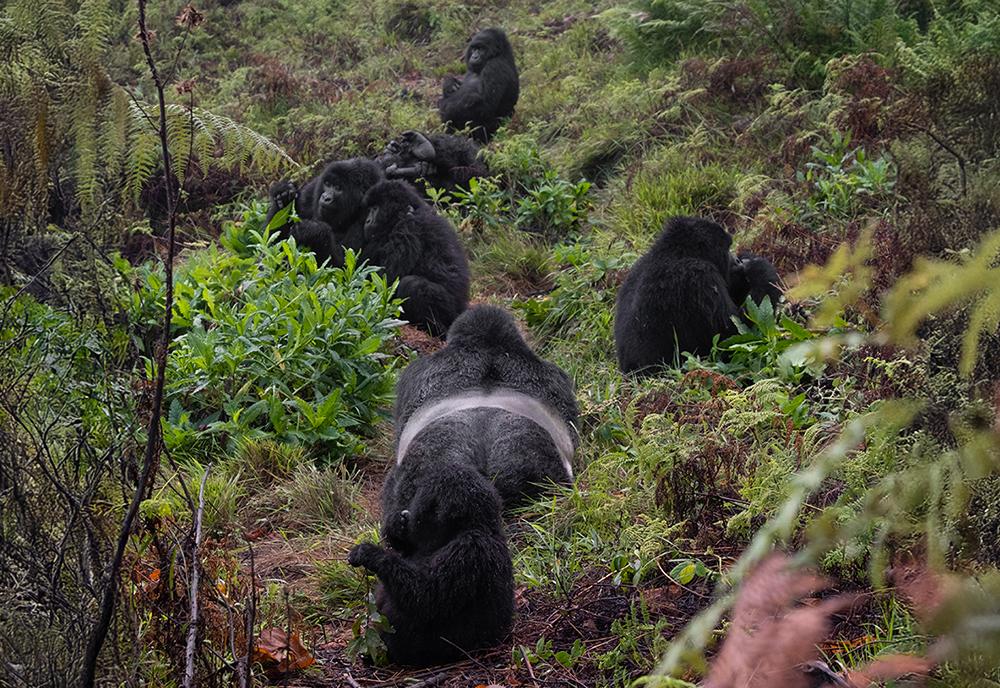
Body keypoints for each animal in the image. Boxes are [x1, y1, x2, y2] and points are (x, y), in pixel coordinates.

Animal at [358, 180, 470, 336]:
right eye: (370, 209)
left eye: (375, 208)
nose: (367, 221)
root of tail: (462, 310)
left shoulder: (407, 229)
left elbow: (386, 281)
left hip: (449, 313)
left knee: (413, 284)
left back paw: (436, 328)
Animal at [612, 216, 784, 374]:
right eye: (727, 248)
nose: (736, 260)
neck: (674, 253)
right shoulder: (699, 276)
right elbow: (733, 335)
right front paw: (760, 268)